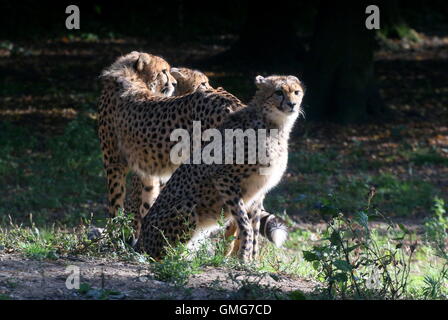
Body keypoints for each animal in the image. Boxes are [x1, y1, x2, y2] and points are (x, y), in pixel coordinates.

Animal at [136, 75, 304, 262]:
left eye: (296, 92)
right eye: (278, 92)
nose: (292, 104)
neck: (275, 125)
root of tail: (140, 241)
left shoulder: (258, 192)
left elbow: (254, 227)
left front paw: (252, 261)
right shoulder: (224, 179)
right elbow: (245, 224)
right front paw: (243, 258)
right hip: (186, 208)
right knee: (162, 254)